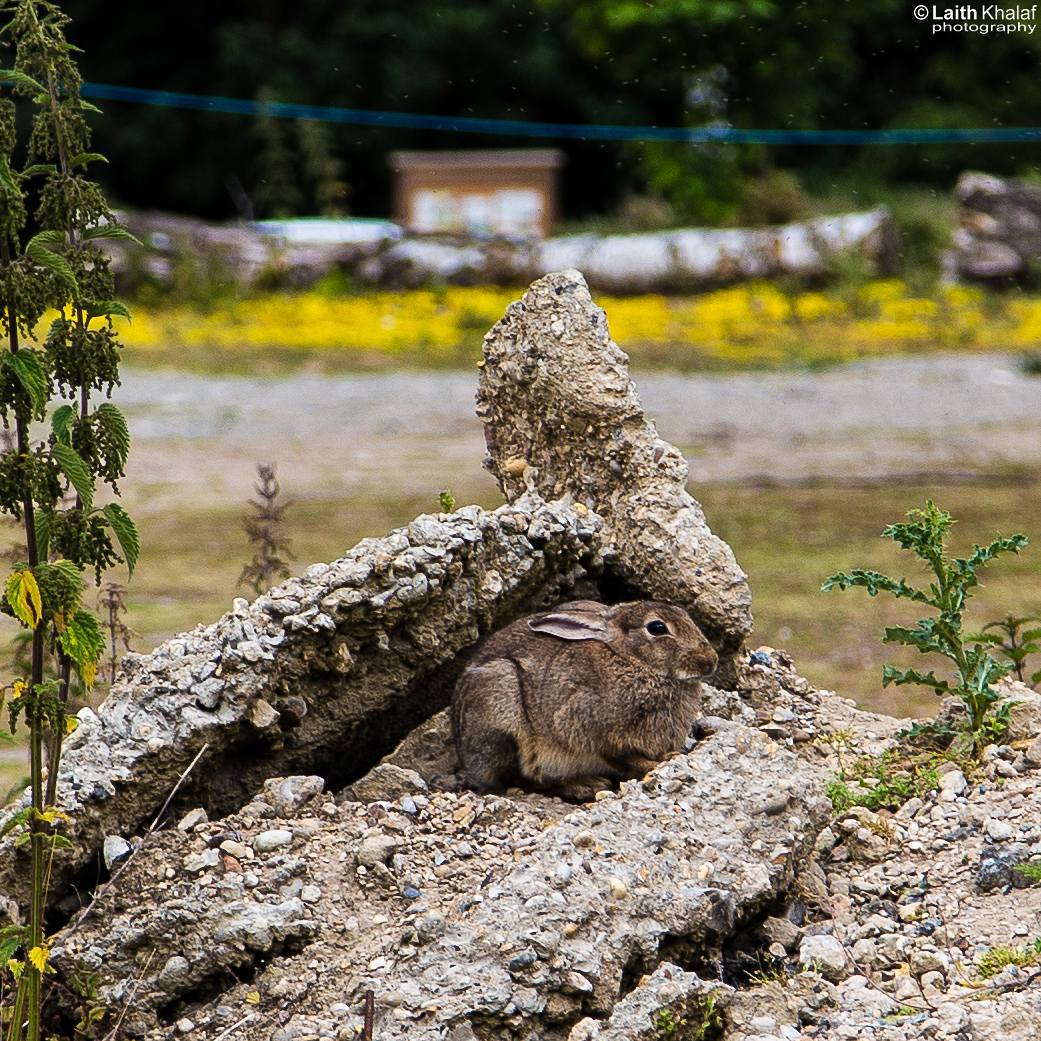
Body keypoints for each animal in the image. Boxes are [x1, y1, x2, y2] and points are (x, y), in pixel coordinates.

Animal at [450, 599, 718, 800]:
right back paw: (586, 786)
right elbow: (620, 757)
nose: (710, 660)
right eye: (657, 627)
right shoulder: (586, 726)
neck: (631, 659)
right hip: (503, 714)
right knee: (524, 778)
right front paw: (658, 763)